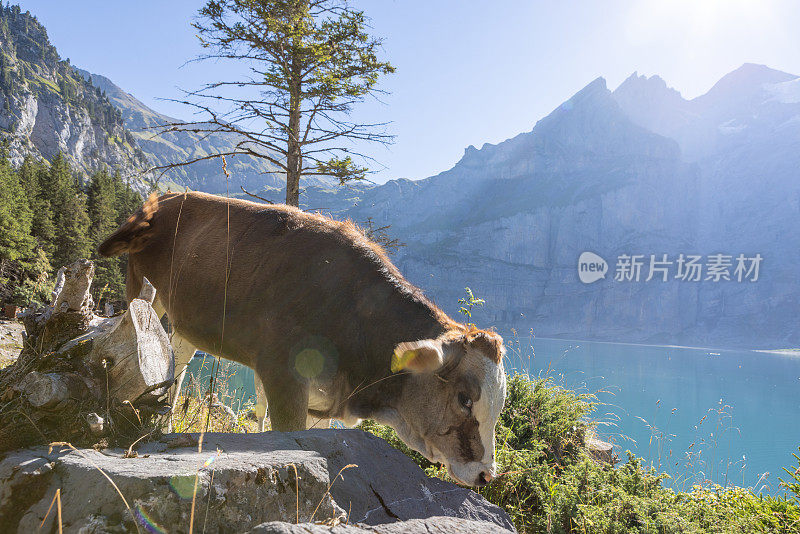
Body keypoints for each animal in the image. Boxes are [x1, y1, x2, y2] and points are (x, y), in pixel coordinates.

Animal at [100, 191, 506, 488]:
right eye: (464, 398)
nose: (486, 475)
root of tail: (166, 198)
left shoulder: (321, 400)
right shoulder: (282, 375)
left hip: (186, 323)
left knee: (178, 363)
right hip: (141, 288)